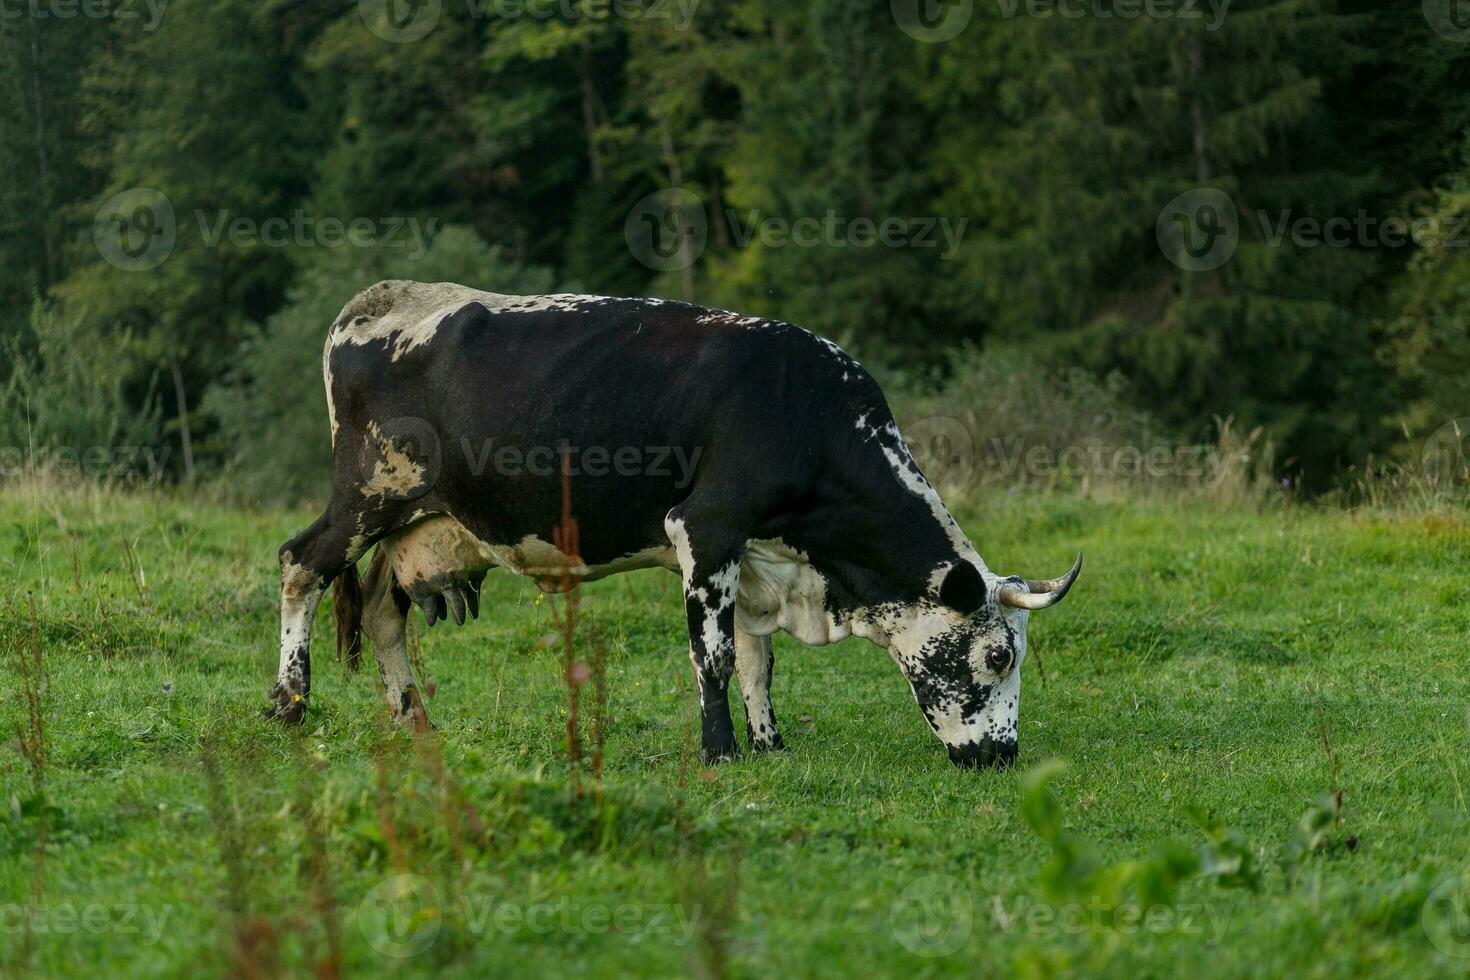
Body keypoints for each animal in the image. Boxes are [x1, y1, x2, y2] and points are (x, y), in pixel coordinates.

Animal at [273, 279, 1081, 769]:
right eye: (996, 656)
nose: (1002, 754)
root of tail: (386, 296)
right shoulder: (705, 526)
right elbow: (714, 657)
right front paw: (720, 751)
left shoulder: (754, 557)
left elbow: (757, 659)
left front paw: (769, 743)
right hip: (366, 495)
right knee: (299, 564)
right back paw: (289, 703)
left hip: (418, 524)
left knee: (382, 612)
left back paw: (414, 722)